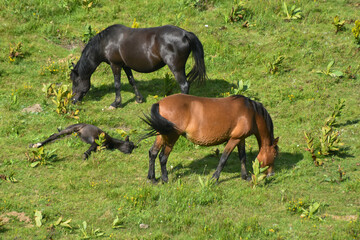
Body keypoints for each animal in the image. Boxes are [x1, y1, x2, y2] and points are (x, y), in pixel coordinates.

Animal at [70, 23, 207, 108]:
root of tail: (185, 34)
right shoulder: (125, 66)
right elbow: (132, 81)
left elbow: (117, 84)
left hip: (176, 68)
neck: (106, 42)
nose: (73, 100)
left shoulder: (115, 65)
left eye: (75, 82)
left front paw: (115, 103)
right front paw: (139, 99)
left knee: (184, 85)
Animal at [141, 93, 278, 182]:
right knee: (163, 157)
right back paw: (165, 179)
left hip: (161, 135)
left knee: (153, 153)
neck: (251, 112)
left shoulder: (240, 139)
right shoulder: (234, 139)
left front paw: (245, 176)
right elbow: (223, 159)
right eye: (275, 155)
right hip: (171, 136)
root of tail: (160, 103)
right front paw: (215, 178)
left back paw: (152, 178)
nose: (271, 174)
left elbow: (242, 157)